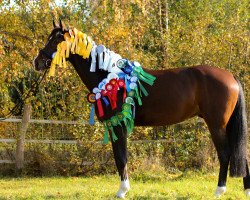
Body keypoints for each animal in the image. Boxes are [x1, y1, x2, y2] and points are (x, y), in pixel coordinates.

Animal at [34, 21, 249, 198]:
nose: (37, 62)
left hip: (217, 125)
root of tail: (231, 76)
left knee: (225, 154)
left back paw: (219, 191)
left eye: (58, 39)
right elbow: (121, 156)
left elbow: (121, 157)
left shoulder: (118, 125)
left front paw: (122, 191)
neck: (108, 76)